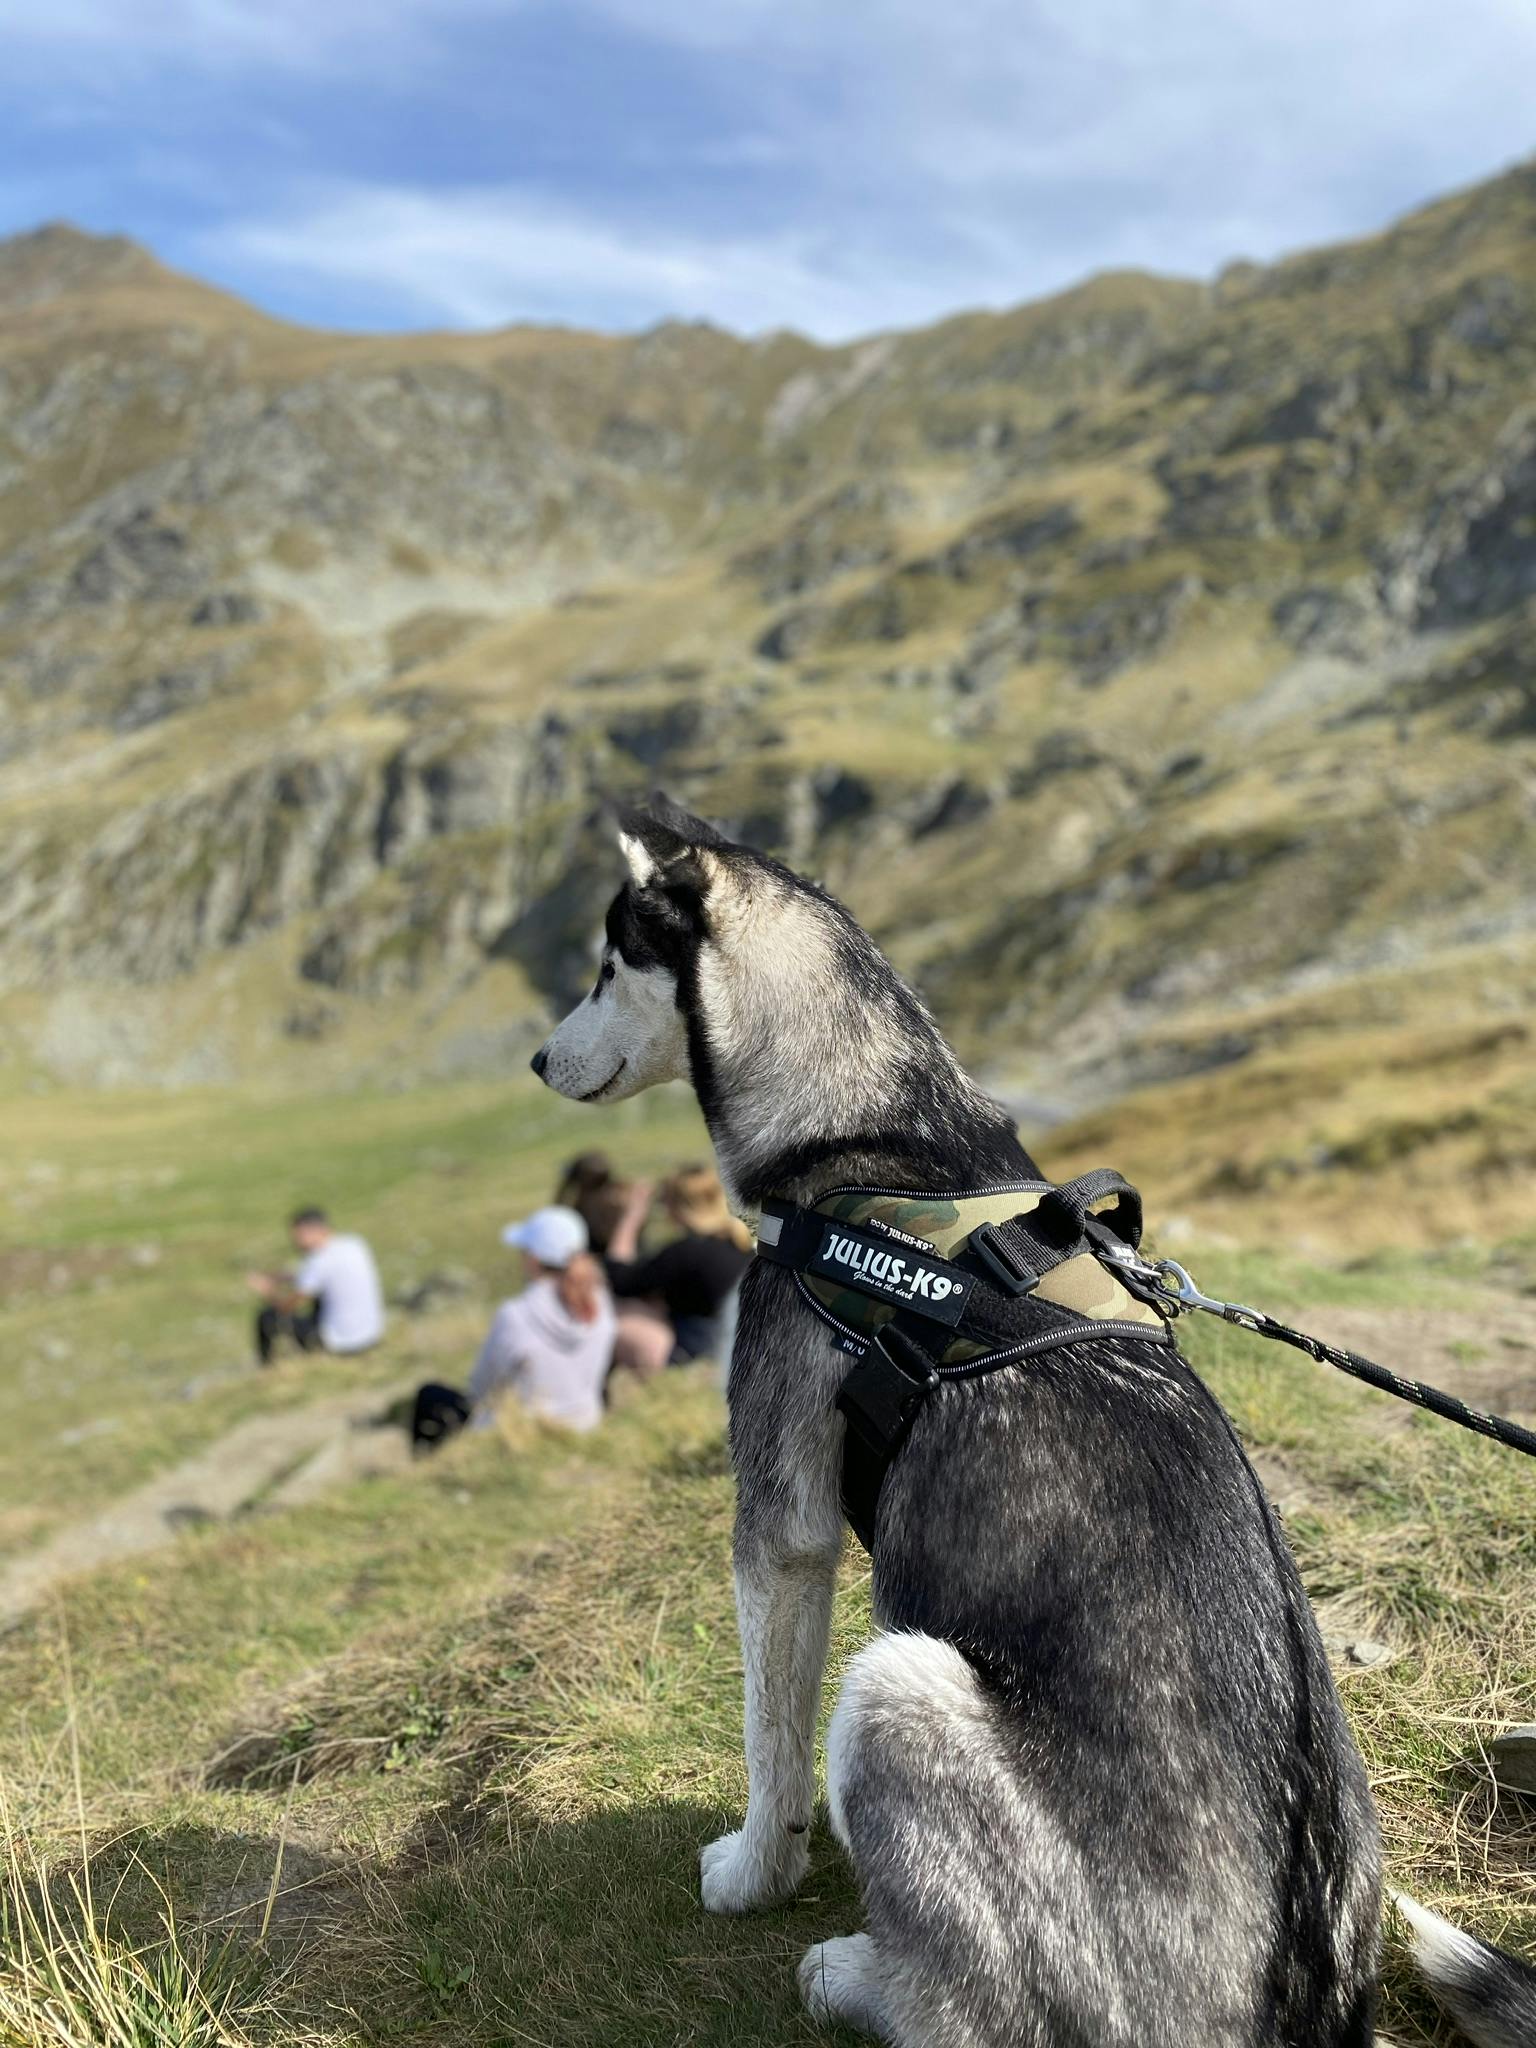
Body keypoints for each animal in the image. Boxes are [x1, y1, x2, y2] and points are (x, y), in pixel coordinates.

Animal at [532, 794, 1536, 2048]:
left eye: (608, 963)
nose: (536, 1058)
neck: (872, 1128)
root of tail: (1299, 2016)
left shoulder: (781, 1525)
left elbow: (769, 1743)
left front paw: (756, 1870)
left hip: (896, 1688)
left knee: (969, 2015)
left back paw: (858, 1976)